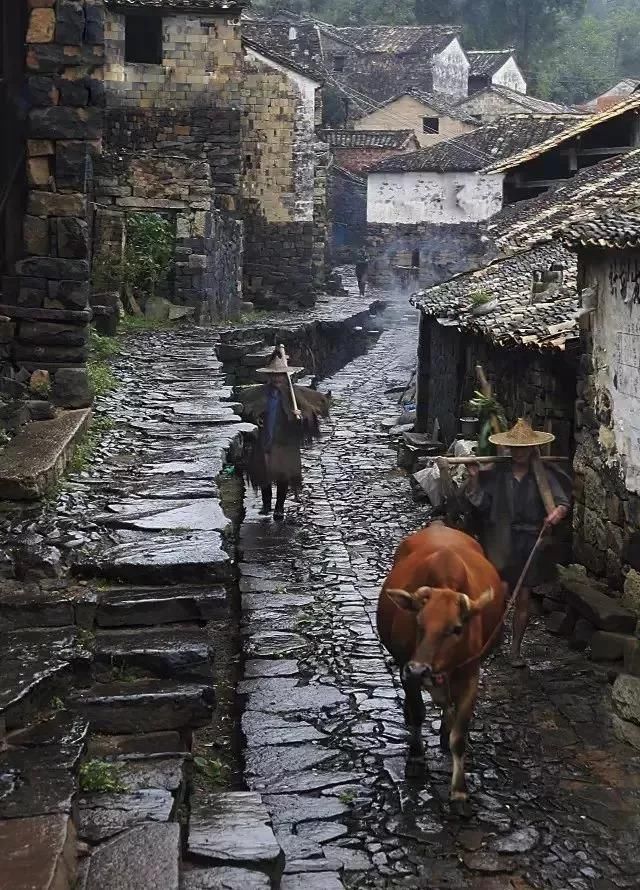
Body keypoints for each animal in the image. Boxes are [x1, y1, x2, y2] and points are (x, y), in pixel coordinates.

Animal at [376, 524, 504, 800]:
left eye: (456, 629)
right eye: (418, 622)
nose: (419, 670)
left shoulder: (470, 675)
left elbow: (459, 736)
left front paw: (459, 790)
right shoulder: (406, 669)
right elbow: (418, 713)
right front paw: (415, 759)